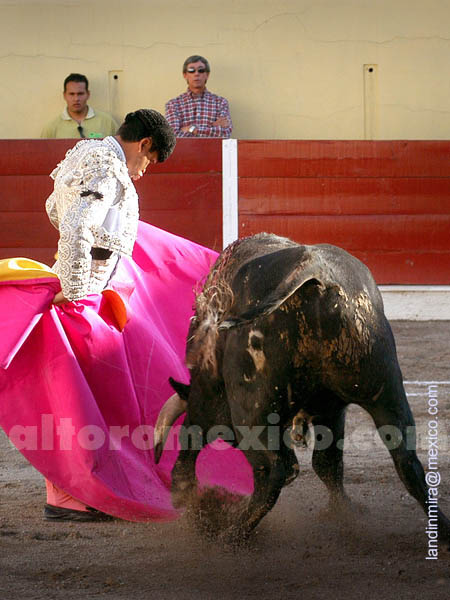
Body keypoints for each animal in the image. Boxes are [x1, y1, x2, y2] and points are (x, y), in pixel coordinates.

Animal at [154, 234, 446, 544]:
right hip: (385, 389)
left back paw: (231, 535)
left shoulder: (208, 395)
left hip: (249, 411)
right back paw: (439, 528)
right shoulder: (331, 409)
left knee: (272, 473)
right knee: (406, 461)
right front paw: (342, 512)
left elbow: (193, 431)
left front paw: (182, 493)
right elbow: (327, 463)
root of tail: (311, 266)